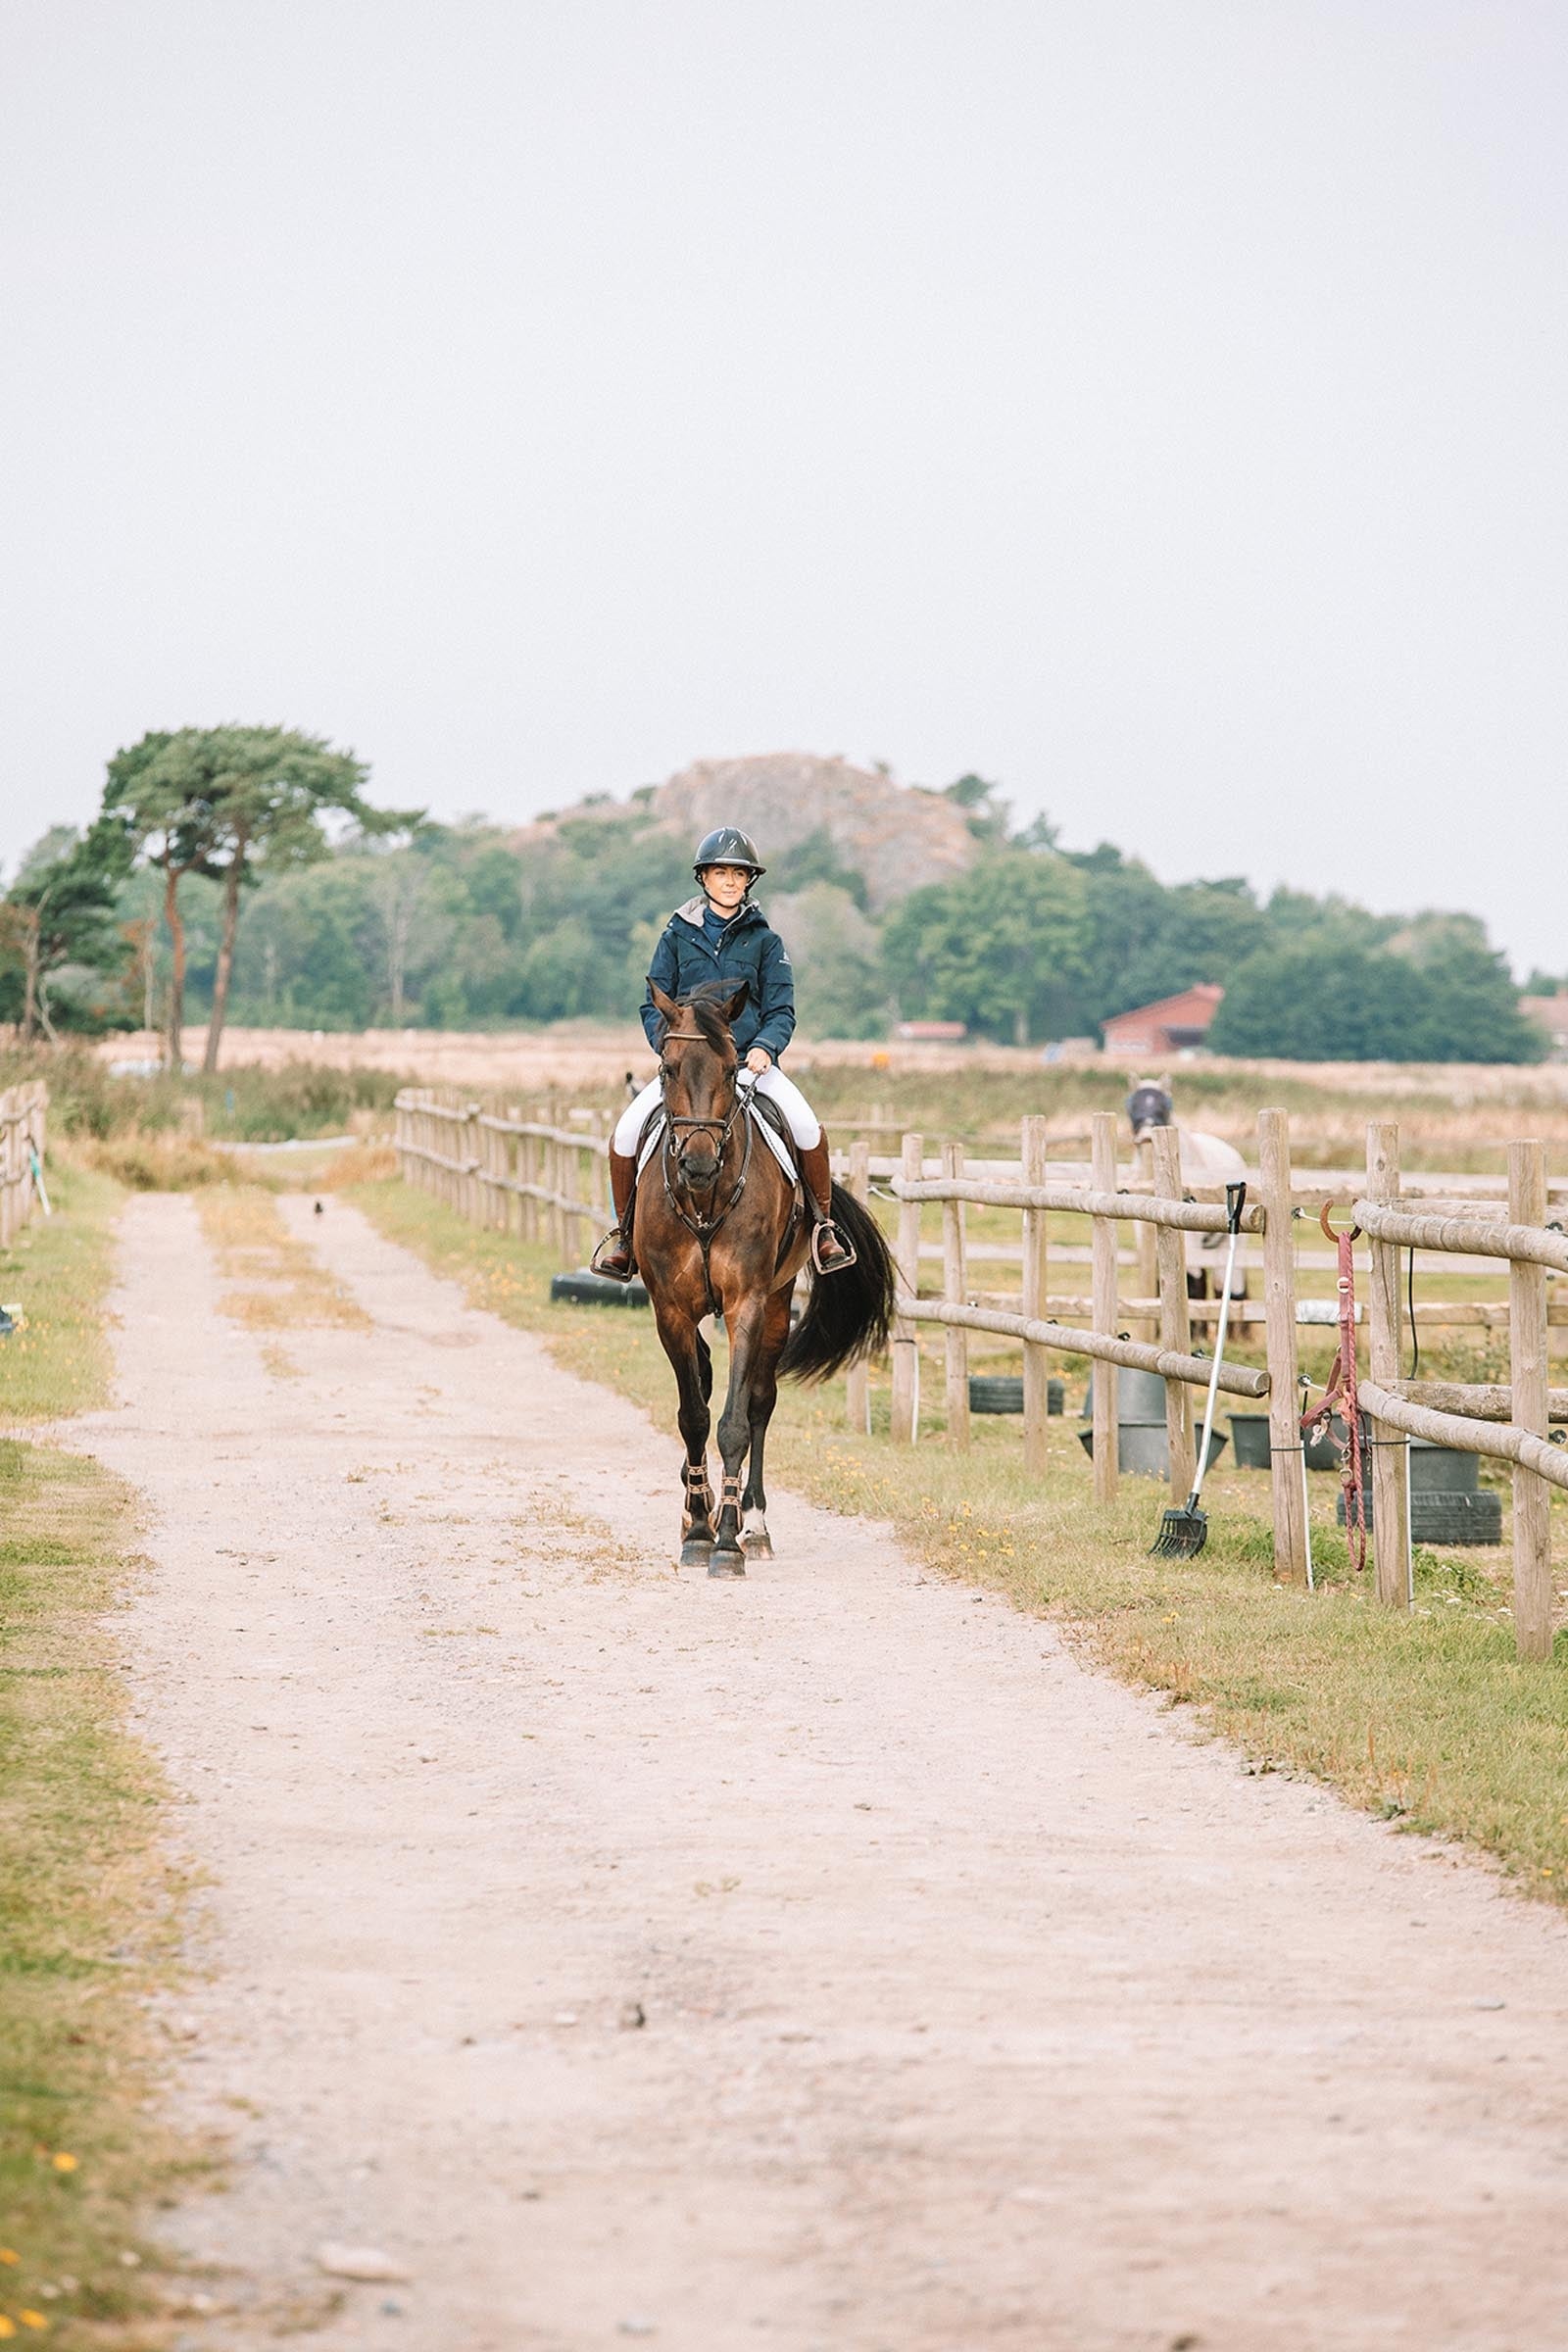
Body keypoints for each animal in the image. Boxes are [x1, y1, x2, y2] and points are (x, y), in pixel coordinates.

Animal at [635, 980, 897, 1576]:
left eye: (733, 1067)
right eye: (668, 1067)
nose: (698, 1164)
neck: (705, 1201)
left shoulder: (746, 1304)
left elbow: (733, 1420)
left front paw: (728, 1542)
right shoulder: (671, 1312)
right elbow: (693, 1415)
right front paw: (698, 1529)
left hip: (777, 1303)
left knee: (759, 1401)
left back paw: (753, 1526)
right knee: (707, 1383)